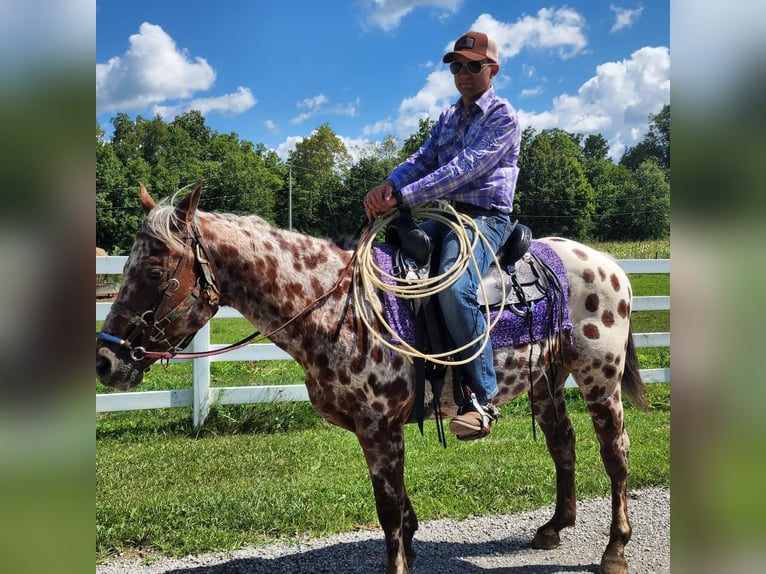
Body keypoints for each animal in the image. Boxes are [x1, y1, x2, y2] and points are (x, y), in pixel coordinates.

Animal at [96, 184, 648, 574]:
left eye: (153, 271)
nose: (105, 360)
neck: (337, 308)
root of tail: (609, 264)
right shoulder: (378, 430)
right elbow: (399, 509)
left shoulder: (379, 427)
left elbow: (387, 511)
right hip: (546, 381)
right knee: (563, 443)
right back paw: (554, 527)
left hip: (600, 381)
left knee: (616, 453)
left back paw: (615, 550)